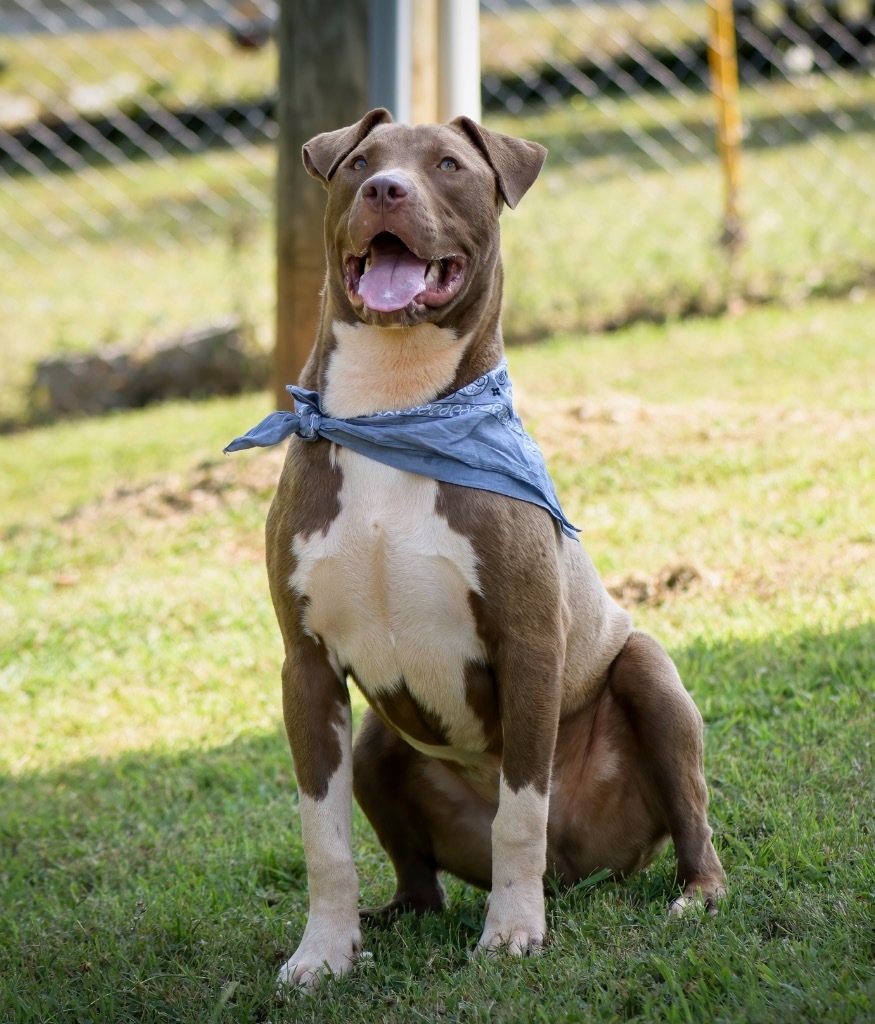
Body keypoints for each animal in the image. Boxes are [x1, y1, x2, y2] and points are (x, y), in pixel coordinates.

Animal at [232, 108, 725, 987]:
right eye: (359, 160)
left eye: (449, 165)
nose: (384, 190)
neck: (393, 413)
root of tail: (582, 871)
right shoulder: (307, 667)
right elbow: (323, 836)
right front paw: (322, 953)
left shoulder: (528, 644)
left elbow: (519, 814)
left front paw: (511, 934)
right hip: (375, 744)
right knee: (417, 876)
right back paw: (393, 917)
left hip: (648, 676)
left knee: (690, 823)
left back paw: (690, 895)